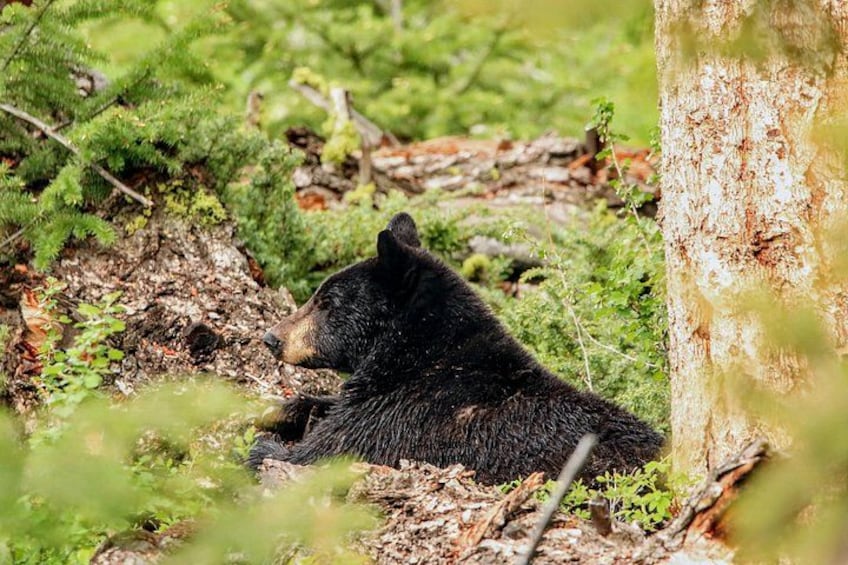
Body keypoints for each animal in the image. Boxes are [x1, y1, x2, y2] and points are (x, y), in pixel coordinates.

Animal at [250, 213, 663, 484]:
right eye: (318, 295)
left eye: (326, 302)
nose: (272, 337)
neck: (414, 357)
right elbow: (327, 406)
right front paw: (273, 410)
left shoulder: (400, 419)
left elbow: (319, 452)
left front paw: (267, 447)